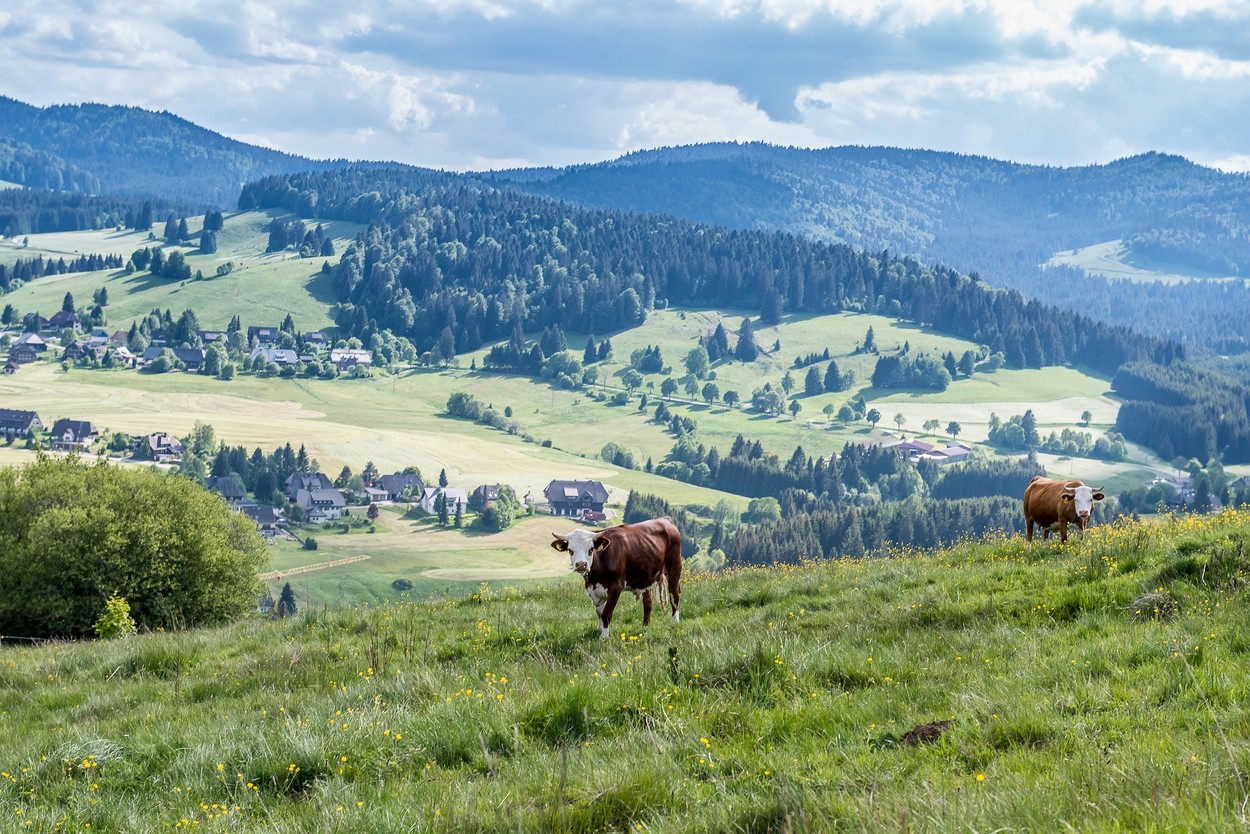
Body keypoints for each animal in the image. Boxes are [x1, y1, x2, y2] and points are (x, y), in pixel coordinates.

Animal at [551, 517, 683, 637]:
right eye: (570, 550)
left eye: (591, 549)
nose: (581, 564)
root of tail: (665, 519)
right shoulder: (594, 589)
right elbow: (600, 612)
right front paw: (600, 631)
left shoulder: (616, 587)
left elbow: (606, 613)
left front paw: (604, 638)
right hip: (646, 577)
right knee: (648, 602)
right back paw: (645, 626)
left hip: (674, 568)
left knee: (674, 595)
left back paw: (674, 622)